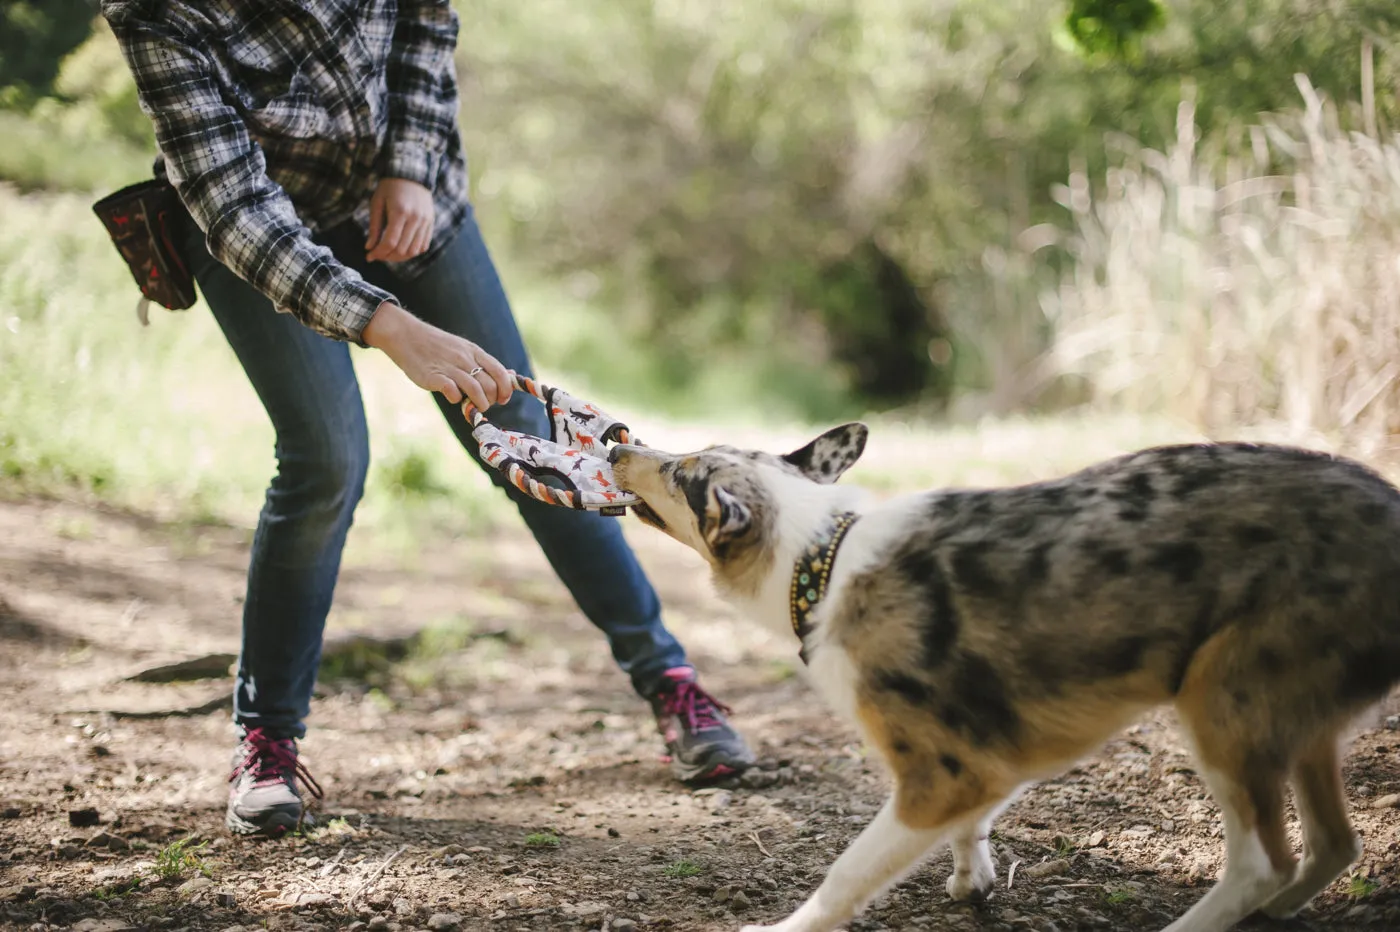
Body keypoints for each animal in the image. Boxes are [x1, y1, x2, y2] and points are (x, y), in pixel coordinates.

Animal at [616, 425, 1400, 929]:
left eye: (681, 472)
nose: (619, 443)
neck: (824, 555)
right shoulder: (992, 757)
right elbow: (977, 823)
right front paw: (973, 880)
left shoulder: (938, 774)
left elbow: (847, 873)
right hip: (1293, 727)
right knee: (1335, 844)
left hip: (1222, 709)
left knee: (1264, 862)